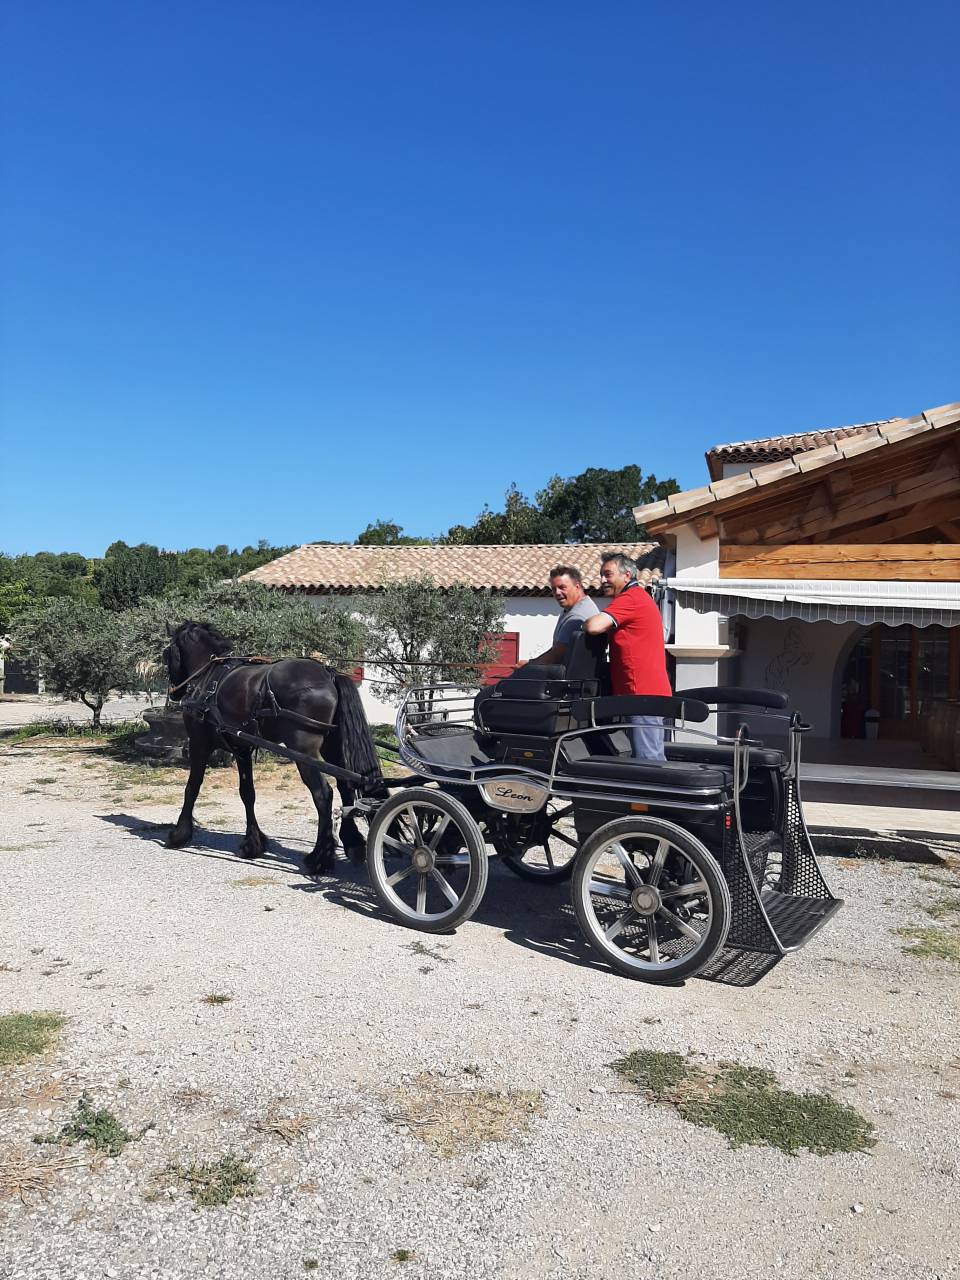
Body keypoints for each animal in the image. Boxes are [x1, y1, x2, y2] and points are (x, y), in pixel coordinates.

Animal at [162, 621, 385, 875]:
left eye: (167, 654)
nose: (175, 692)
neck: (208, 677)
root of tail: (329, 674)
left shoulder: (199, 744)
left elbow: (192, 788)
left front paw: (179, 834)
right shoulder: (242, 748)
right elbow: (247, 793)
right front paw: (252, 843)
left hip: (304, 751)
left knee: (323, 794)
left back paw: (319, 857)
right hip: (333, 747)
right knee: (345, 786)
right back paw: (352, 844)